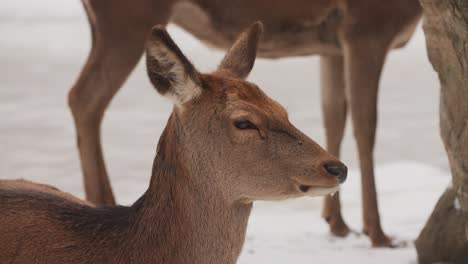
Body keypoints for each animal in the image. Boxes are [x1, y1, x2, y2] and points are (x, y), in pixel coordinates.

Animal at [70, 0, 424, 248]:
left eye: (283, 109)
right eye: (244, 123)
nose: (336, 169)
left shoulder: (332, 47)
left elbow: (334, 115)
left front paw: (336, 223)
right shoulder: (366, 27)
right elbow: (367, 125)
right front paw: (379, 233)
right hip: (126, 20)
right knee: (84, 97)